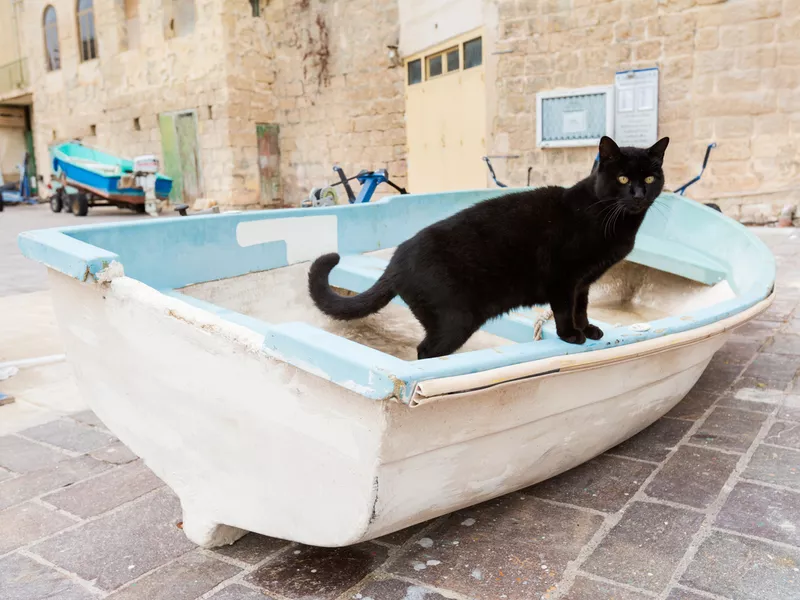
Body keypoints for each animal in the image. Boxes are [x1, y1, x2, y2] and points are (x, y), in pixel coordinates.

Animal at [308, 135, 668, 358]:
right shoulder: (564, 279)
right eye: (623, 179)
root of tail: (396, 260)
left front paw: (588, 329)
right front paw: (571, 335)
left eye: (650, 179)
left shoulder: (584, 283)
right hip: (455, 320)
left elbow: (581, 307)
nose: (638, 194)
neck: (610, 218)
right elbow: (565, 309)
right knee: (425, 352)